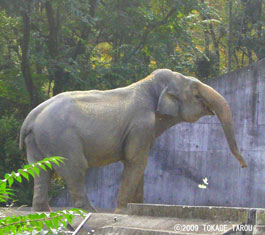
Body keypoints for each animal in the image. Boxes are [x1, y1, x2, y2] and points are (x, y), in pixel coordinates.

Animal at [18, 69, 245, 213]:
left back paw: (42, 210)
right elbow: (135, 160)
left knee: (41, 170)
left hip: (38, 140)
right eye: (196, 93)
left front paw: (138, 208)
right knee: (75, 168)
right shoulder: (140, 125)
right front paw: (123, 210)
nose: (244, 165)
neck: (149, 84)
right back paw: (90, 210)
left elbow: (140, 163)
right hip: (62, 138)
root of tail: (31, 117)